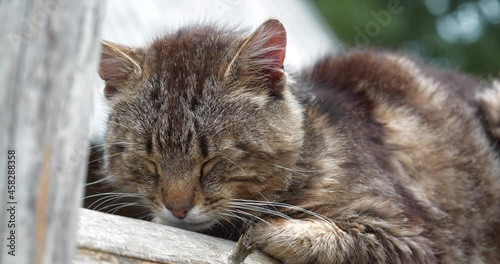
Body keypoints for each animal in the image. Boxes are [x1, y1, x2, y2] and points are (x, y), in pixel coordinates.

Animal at [96, 19, 500, 264]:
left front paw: (268, 232)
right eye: (148, 161)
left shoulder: (416, 236)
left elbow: (331, 237)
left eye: (212, 160)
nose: (177, 209)